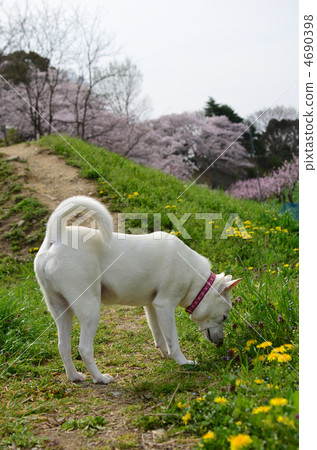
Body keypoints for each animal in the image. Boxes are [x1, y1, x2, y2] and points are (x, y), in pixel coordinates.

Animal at [34, 196, 241, 384]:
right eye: (224, 317)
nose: (221, 343)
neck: (196, 279)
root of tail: (56, 238)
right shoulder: (165, 305)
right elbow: (173, 341)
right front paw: (184, 363)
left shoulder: (151, 307)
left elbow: (159, 336)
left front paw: (166, 355)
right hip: (90, 310)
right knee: (84, 348)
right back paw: (100, 378)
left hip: (61, 311)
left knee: (63, 346)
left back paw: (74, 376)